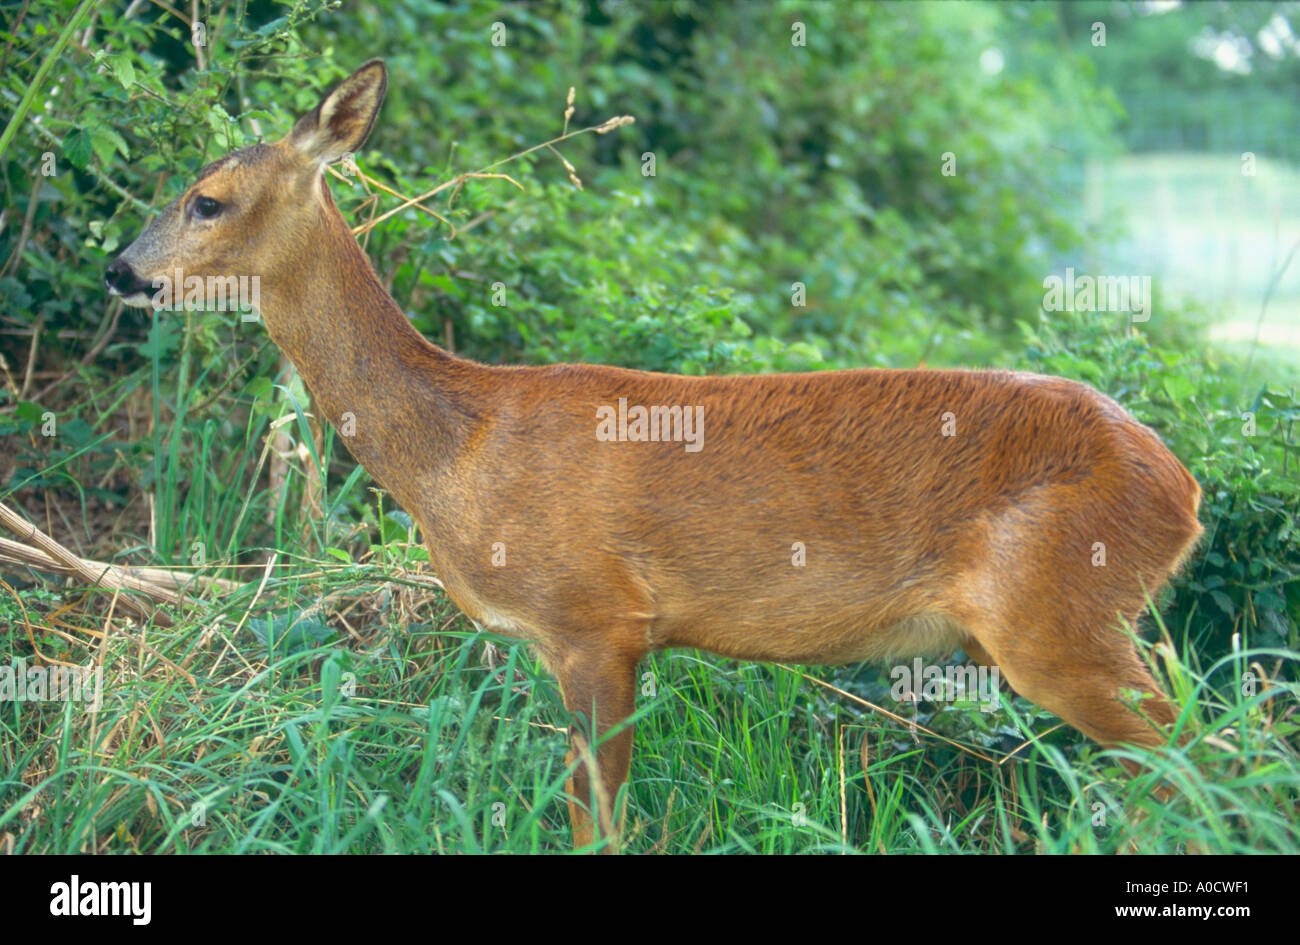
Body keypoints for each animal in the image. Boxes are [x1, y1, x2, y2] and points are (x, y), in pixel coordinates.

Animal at [106, 62, 1201, 852]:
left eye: (207, 199)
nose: (120, 270)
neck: (462, 444)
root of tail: (1183, 490)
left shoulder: (596, 619)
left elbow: (600, 826)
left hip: (1059, 612)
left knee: (1201, 756)